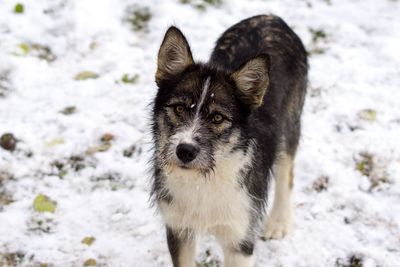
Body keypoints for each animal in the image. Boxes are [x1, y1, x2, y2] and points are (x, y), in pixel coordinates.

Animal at [152, 14, 308, 267]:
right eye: (179, 108)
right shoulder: (178, 229)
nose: (185, 150)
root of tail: (270, 17)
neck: (205, 179)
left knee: (287, 172)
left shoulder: (240, 239)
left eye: (217, 118)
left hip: (289, 126)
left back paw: (279, 221)